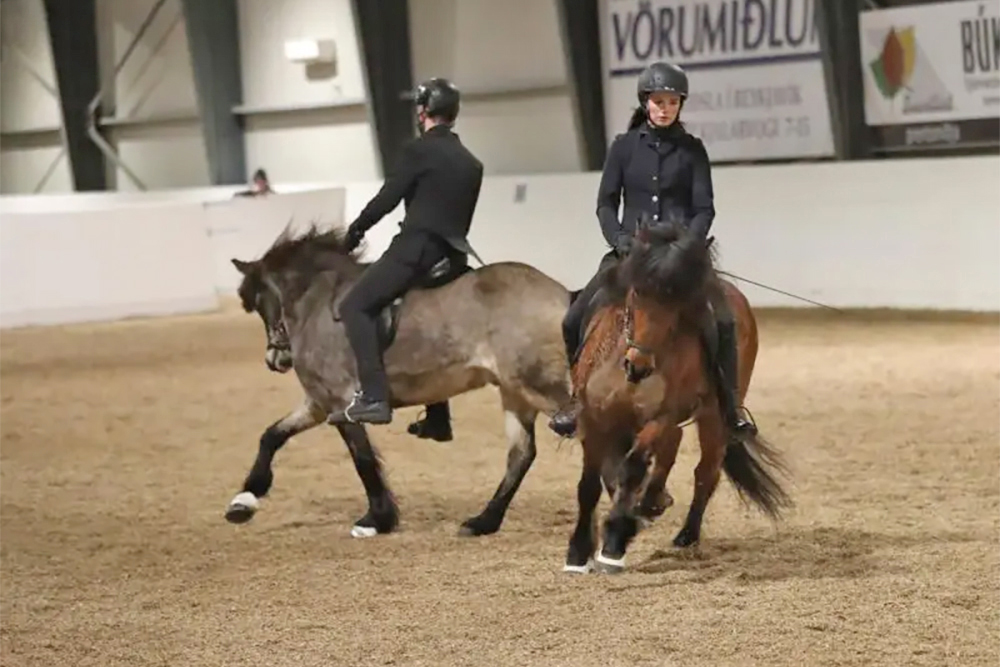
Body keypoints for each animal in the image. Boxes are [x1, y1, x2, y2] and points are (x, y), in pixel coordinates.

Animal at [223, 227, 576, 540]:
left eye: (260, 303)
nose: (275, 360)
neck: (317, 304)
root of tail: (564, 295)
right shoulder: (319, 404)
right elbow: (272, 436)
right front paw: (244, 502)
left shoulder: (341, 403)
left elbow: (363, 460)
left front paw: (376, 519)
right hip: (515, 392)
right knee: (522, 454)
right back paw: (482, 522)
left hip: (540, 386)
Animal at [564, 219, 788, 576]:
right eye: (637, 293)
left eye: (678, 304)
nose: (639, 366)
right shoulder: (593, 417)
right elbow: (589, 484)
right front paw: (577, 553)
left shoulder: (661, 416)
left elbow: (631, 469)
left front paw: (613, 546)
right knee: (670, 450)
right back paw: (650, 504)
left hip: (714, 417)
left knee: (705, 471)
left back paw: (684, 534)